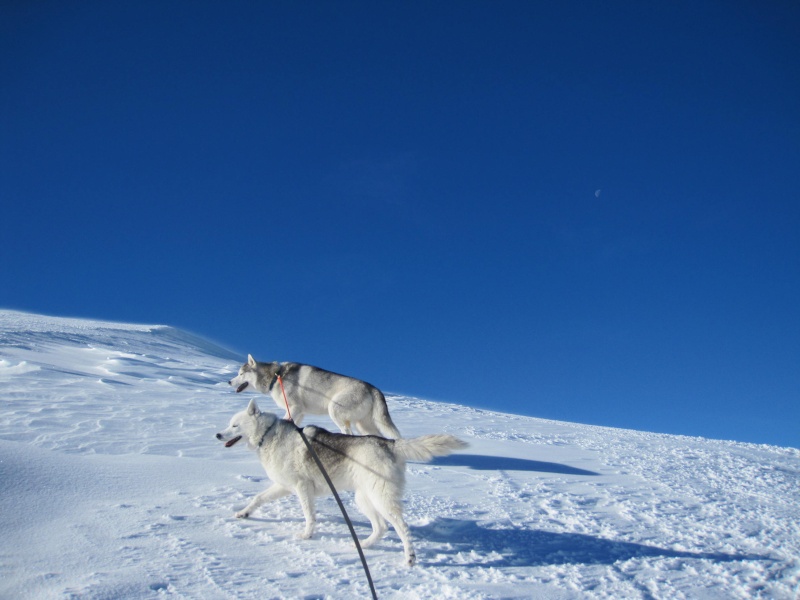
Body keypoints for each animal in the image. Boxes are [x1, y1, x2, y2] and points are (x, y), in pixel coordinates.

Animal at [217, 400, 468, 564]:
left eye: (234, 425)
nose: (218, 435)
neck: (268, 434)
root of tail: (388, 443)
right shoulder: (284, 486)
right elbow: (258, 498)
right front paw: (244, 513)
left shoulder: (301, 488)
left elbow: (309, 517)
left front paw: (307, 536)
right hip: (363, 498)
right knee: (381, 527)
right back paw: (364, 546)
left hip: (381, 499)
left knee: (401, 527)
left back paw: (410, 557)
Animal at [227, 354, 400, 438]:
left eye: (240, 374)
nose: (229, 381)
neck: (276, 377)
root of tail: (373, 388)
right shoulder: (299, 413)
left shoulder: (294, 408)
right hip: (363, 425)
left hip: (335, 411)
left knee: (348, 433)